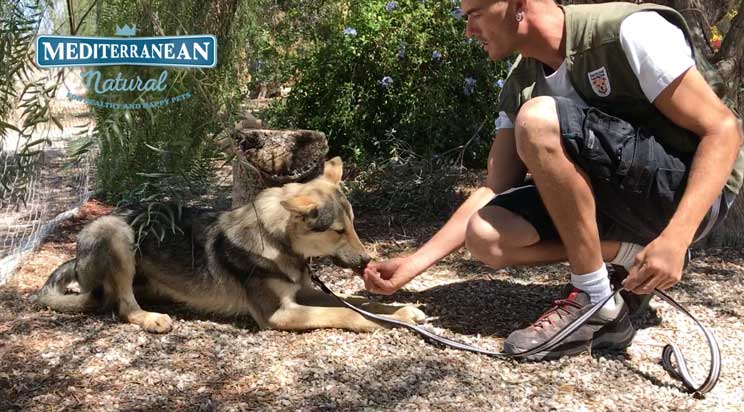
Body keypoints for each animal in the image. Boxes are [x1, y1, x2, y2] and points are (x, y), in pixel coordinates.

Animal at [35, 156, 428, 334]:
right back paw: (150, 318)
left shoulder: (302, 293)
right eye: (337, 230)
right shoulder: (279, 314)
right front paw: (392, 322)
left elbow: (360, 302)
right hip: (117, 232)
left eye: (353, 225)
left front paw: (401, 311)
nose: (366, 260)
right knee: (122, 306)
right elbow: (348, 313)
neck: (279, 243)